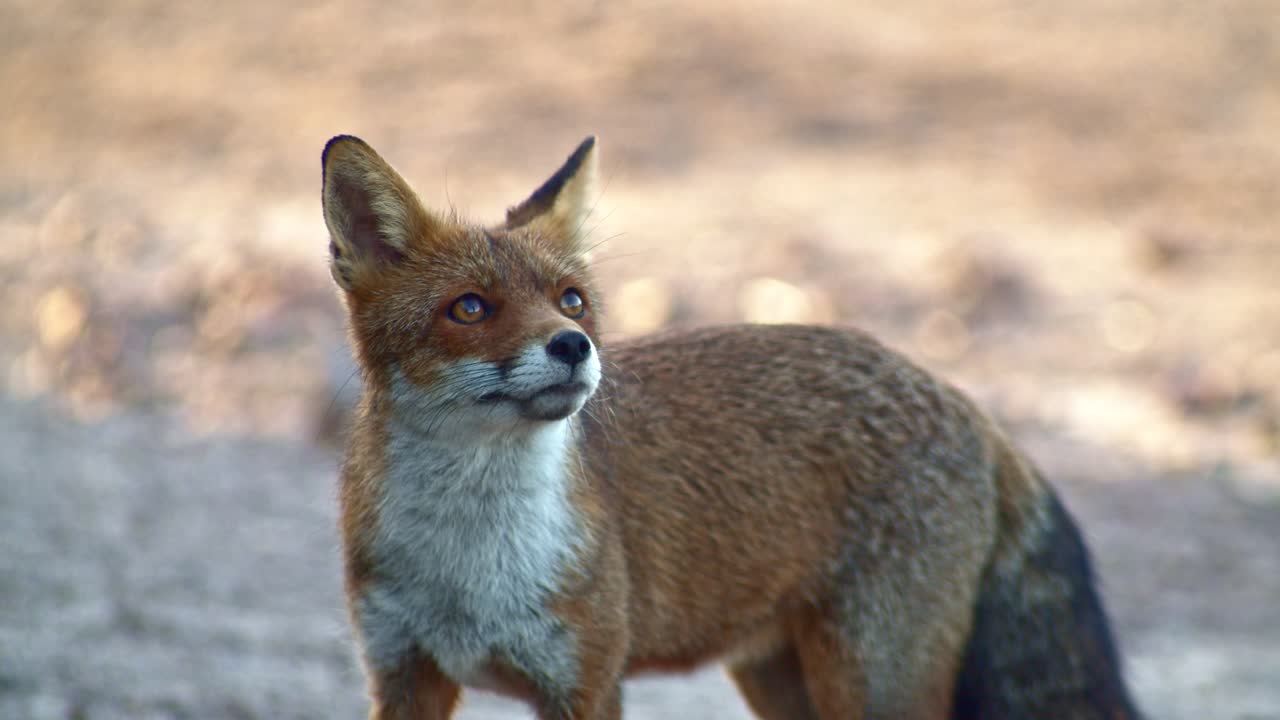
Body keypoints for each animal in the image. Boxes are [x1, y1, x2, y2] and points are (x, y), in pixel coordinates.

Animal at [320, 133, 1143, 720]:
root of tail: (958, 396)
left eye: (571, 300)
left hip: (873, 681)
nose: (573, 346)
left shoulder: (587, 682)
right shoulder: (404, 672)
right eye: (469, 308)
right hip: (781, 680)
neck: (469, 570)